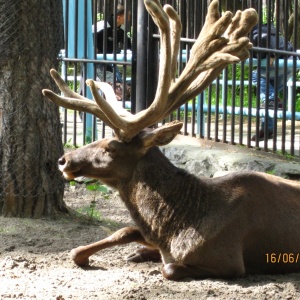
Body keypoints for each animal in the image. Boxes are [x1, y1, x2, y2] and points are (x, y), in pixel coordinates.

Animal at [42, 0, 300, 282]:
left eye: (110, 147)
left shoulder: (229, 260)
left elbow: (169, 268)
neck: (178, 228)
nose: (63, 160)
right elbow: (92, 243)